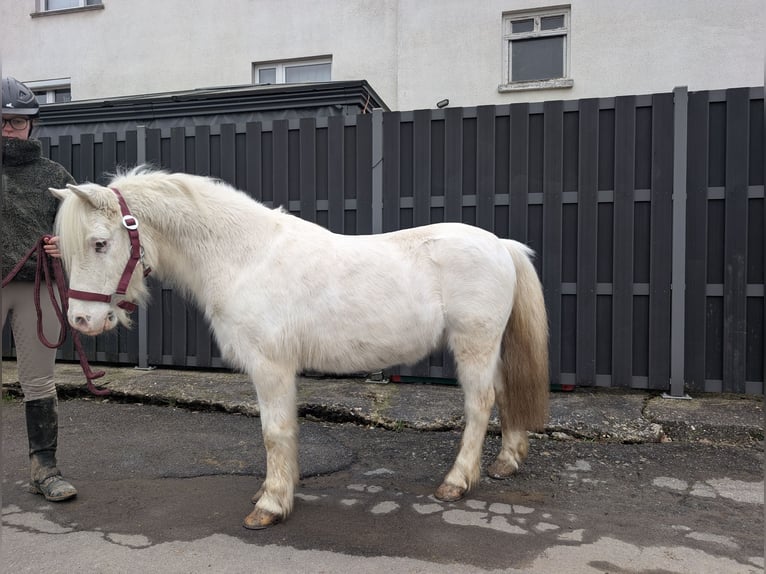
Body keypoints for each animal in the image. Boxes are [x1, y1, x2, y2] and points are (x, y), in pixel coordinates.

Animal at [50, 167, 549, 530]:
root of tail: (501, 246)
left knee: (480, 405)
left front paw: (271, 505)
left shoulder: (271, 367)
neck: (246, 256)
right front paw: (277, 490)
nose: (80, 320)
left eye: (99, 243)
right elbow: (282, 432)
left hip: (473, 345)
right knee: (505, 394)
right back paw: (506, 462)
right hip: (488, 347)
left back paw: (457, 482)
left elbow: (274, 432)